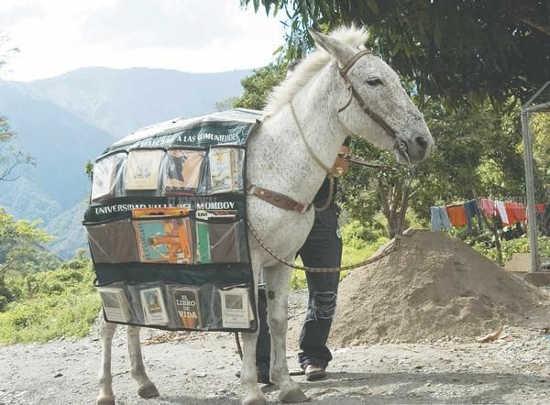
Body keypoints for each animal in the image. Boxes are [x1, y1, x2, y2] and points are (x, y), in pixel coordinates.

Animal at [98, 26, 436, 404]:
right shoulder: (249, 264)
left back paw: (143, 381)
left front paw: (286, 385)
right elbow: (252, 324)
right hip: (113, 262)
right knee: (108, 322)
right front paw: (252, 390)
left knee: (129, 320)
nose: (422, 141)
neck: (274, 168)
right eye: (374, 80)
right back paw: (106, 390)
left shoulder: (282, 260)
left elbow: (276, 321)